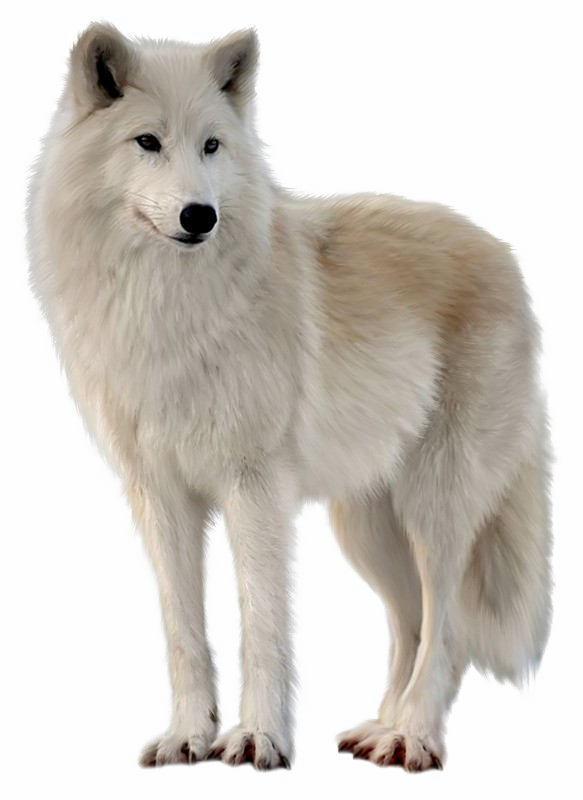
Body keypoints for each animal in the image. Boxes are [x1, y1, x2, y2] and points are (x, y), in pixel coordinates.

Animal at [28, 23, 552, 771]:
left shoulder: (256, 488)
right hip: (367, 528)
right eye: (147, 141)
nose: (200, 216)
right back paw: (379, 729)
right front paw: (188, 736)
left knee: (446, 632)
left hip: (437, 509)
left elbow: (262, 625)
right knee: (410, 624)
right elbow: (183, 631)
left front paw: (257, 738)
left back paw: (412, 737)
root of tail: (505, 255)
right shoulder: (160, 495)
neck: (167, 306)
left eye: (212, 145)